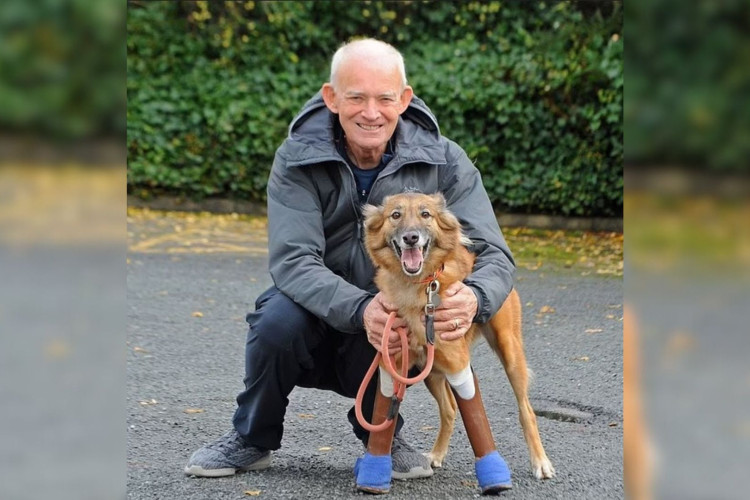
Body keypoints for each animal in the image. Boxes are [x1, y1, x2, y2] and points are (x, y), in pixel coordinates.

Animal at [364, 191, 560, 480]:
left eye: (425, 214)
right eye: (395, 215)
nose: (411, 237)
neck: (415, 288)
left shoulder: (457, 360)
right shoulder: (394, 360)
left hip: (510, 353)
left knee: (526, 410)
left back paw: (540, 461)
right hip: (431, 370)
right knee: (449, 409)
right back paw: (436, 454)